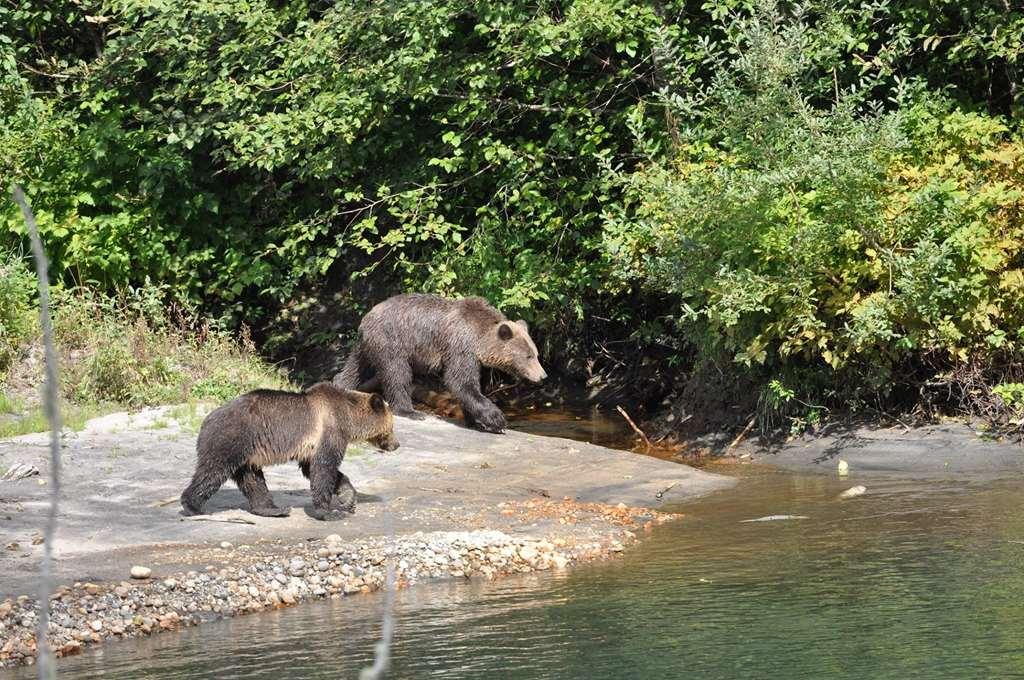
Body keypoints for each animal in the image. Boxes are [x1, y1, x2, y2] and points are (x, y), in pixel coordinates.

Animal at [180, 385, 395, 522]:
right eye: (392, 427)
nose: (396, 444)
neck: (348, 418)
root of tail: (206, 419)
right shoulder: (329, 430)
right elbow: (324, 468)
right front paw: (329, 512)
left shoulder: (312, 447)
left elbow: (318, 469)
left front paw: (348, 499)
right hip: (231, 438)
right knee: (213, 470)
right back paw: (192, 506)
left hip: (247, 454)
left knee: (252, 480)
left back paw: (272, 509)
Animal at [333, 290, 544, 430]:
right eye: (528, 356)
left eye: (536, 354)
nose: (543, 376)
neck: (479, 338)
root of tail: (366, 317)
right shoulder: (460, 346)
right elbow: (460, 381)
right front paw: (497, 419)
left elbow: (467, 385)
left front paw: (475, 421)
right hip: (392, 340)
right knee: (397, 373)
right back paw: (409, 411)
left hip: (366, 346)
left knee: (355, 368)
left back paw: (341, 386)